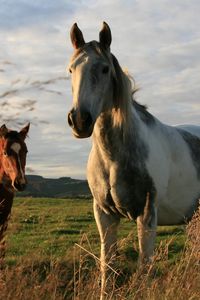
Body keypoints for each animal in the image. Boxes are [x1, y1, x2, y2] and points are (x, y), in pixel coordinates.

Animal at [67, 22, 200, 298]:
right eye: (71, 69)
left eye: (105, 69)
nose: (80, 120)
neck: (114, 158)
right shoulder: (104, 214)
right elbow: (108, 266)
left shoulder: (147, 214)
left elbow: (144, 268)